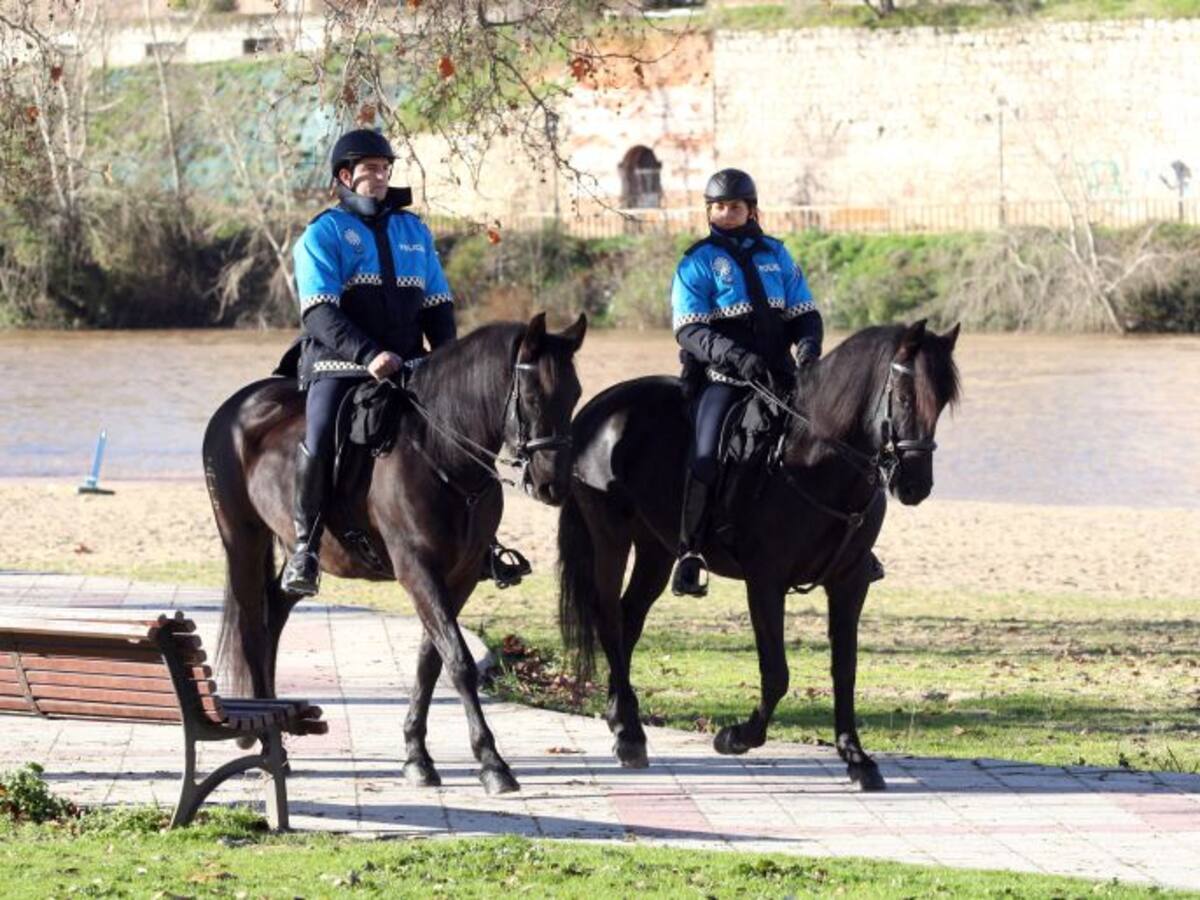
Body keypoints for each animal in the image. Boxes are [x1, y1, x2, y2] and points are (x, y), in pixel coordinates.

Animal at [203, 313, 586, 795]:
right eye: (533, 395)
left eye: (575, 394)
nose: (554, 484)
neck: (440, 451)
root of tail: (236, 409)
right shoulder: (416, 569)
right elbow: (458, 660)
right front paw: (492, 762)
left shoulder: (457, 577)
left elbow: (430, 661)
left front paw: (416, 756)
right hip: (242, 538)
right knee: (253, 626)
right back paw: (267, 743)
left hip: (295, 551)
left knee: (274, 612)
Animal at [557, 319, 959, 791]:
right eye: (907, 397)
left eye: (943, 401)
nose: (915, 485)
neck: (814, 458)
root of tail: (598, 409)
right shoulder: (766, 582)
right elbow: (777, 672)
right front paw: (736, 736)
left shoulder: (850, 582)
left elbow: (845, 668)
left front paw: (856, 757)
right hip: (610, 537)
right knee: (608, 618)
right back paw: (628, 736)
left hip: (655, 549)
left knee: (628, 619)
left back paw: (621, 718)